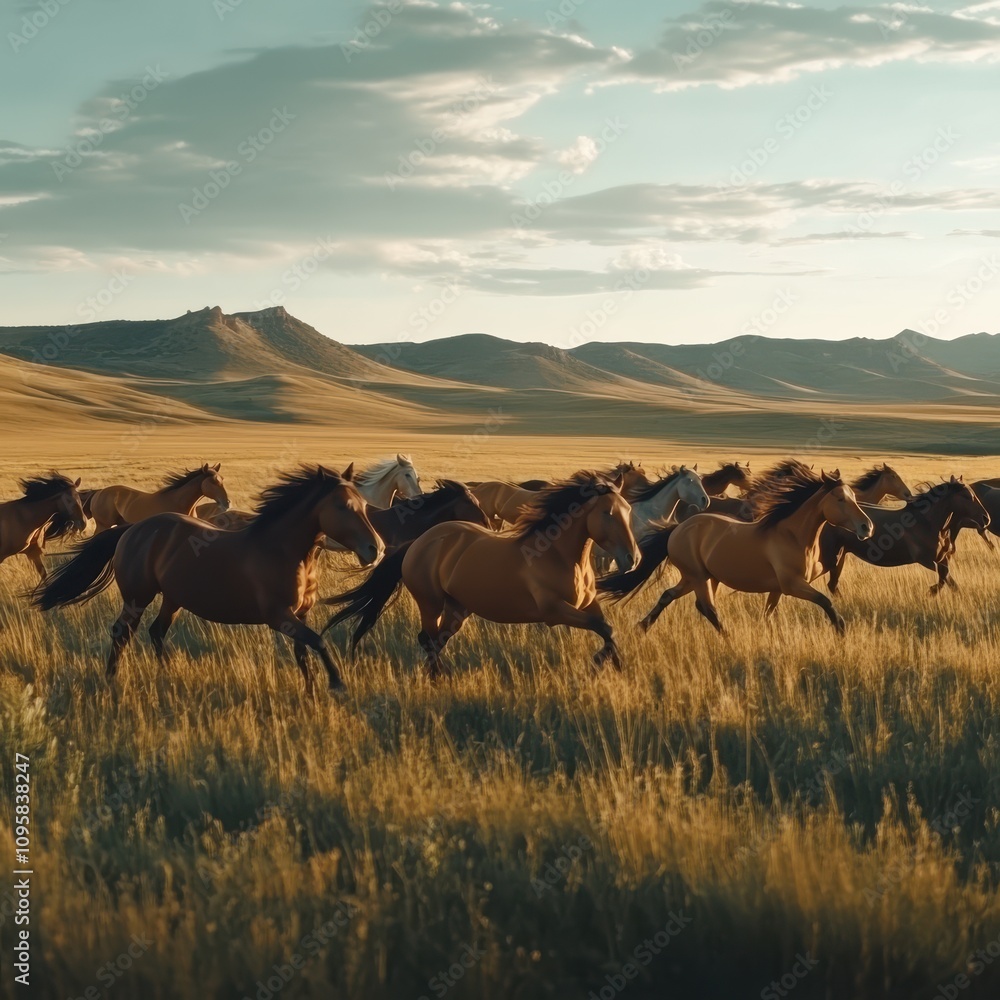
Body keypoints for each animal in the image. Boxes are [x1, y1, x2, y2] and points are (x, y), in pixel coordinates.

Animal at [86, 464, 230, 533]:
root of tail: (98, 493)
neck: (179, 502)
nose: (227, 503)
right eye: (213, 481)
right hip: (103, 525)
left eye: (223, 479)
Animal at [322, 471, 640, 677]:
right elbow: (603, 629)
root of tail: (420, 541)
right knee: (427, 638)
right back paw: (440, 676)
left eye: (628, 510)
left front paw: (609, 664)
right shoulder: (553, 611)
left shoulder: (588, 604)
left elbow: (608, 630)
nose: (633, 558)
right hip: (430, 601)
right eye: (608, 513)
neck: (559, 556)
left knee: (437, 639)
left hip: (458, 607)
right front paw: (602, 664)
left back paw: (435, 674)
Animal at [599, 466, 872, 635]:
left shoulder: (777, 589)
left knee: (671, 596)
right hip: (698, 576)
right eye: (840, 499)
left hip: (699, 576)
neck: (793, 536)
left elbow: (768, 613)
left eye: (852, 496)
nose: (867, 526)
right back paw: (727, 636)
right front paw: (841, 629)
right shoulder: (793, 585)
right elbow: (825, 601)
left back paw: (642, 626)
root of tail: (678, 528)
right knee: (707, 608)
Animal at [818, 477, 989, 595]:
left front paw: (933, 592)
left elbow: (947, 579)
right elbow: (944, 577)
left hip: (841, 555)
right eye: (967, 496)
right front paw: (931, 591)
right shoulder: (925, 559)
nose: (986, 518)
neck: (926, 522)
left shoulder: (942, 558)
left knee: (833, 585)